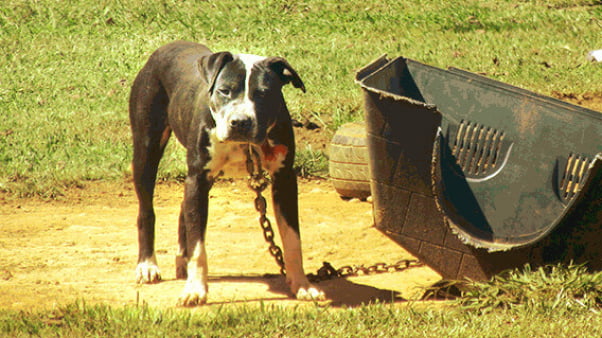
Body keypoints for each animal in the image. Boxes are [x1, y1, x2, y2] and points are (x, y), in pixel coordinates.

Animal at [127, 41, 324, 304]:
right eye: (224, 91)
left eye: (263, 93)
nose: (240, 122)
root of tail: (164, 48)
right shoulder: (198, 177)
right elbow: (199, 246)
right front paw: (195, 290)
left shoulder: (285, 179)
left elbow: (293, 239)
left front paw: (302, 285)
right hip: (146, 148)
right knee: (146, 211)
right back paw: (147, 265)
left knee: (183, 208)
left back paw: (181, 261)